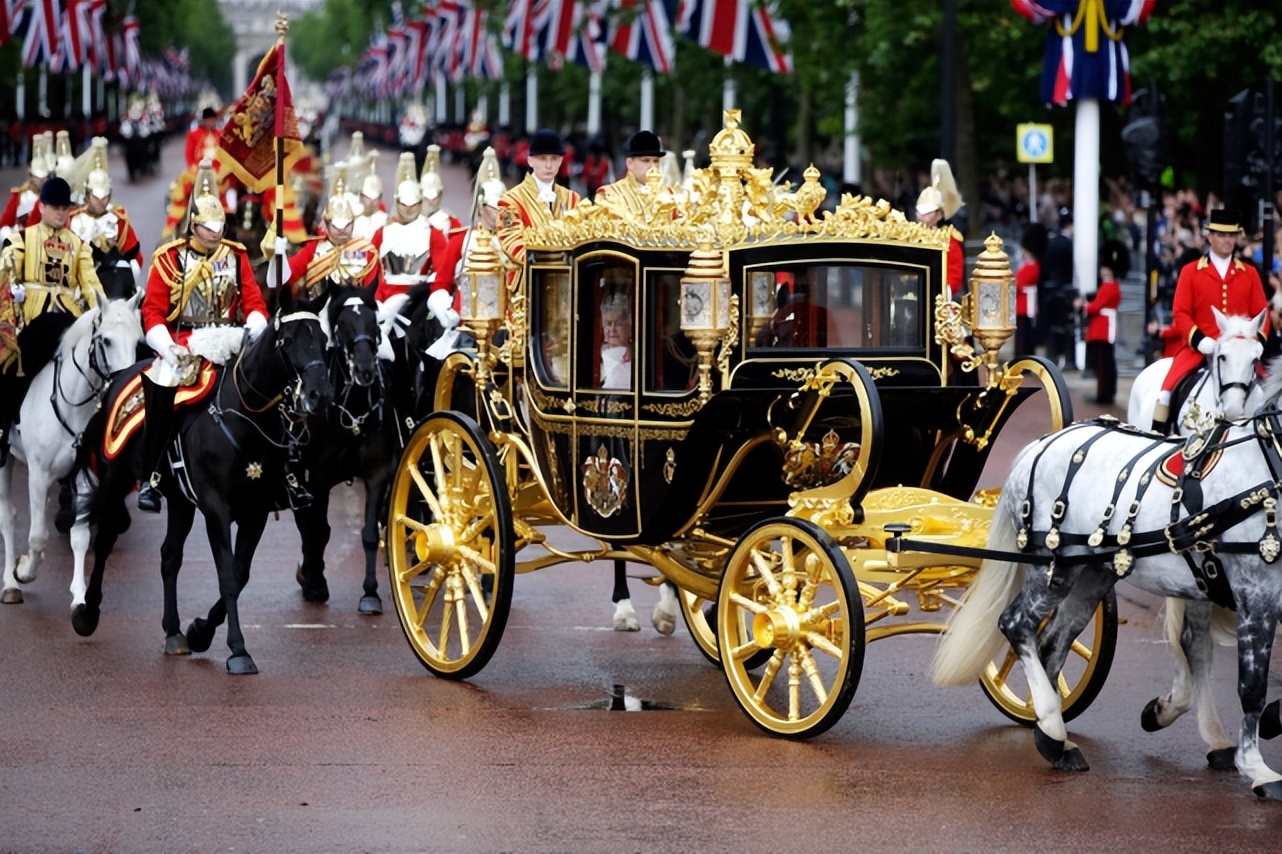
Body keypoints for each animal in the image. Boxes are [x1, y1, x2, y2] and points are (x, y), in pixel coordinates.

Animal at [0, 298, 142, 605]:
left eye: (138, 340)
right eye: (106, 341)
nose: (126, 384)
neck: (72, 406)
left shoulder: (84, 475)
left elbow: (80, 536)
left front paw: (79, 597)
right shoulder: (38, 476)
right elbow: (37, 536)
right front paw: (23, 571)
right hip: (4, 461)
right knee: (8, 517)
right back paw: (10, 584)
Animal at [72, 292, 333, 671]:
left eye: (324, 340)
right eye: (288, 341)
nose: (319, 395)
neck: (245, 417)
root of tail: (118, 378)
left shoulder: (255, 512)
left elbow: (239, 574)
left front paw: (200, 632)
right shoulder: (215, 508)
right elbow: (227, 575)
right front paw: (238, 650)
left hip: (180, 501)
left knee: (169, 556)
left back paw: (173, 632)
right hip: (114, 480)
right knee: (105, 540)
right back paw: (87, 613)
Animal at [294, 285, 394, 612]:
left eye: (375, 321)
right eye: (341, 325)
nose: (364, 370)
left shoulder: (378, 473)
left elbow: (369, 533)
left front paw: (371, 593)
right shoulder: (319, 476)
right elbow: (318, 529)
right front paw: (315, 583)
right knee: (307, 525)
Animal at [933, 392, 1282, 800]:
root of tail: (1040, 444)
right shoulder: (1256, 592)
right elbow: (1252, 685)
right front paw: (1259, 769)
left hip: (1095, 574)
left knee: (1052, 643)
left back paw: (1054, 736)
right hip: (1054, 569)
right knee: (1016, 624)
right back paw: (1052, 727)